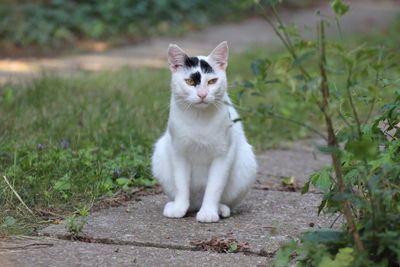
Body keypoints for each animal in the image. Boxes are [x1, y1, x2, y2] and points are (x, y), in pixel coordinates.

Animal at [152, 40, 258, 223]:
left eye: (212, 81)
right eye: (189, 82)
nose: (202, 94)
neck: (199, 118)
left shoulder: (223, 154)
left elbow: (214, 187)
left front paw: (208, 212)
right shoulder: (179, 151)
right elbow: (181, 184)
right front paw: (179, 208)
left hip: (247, 163)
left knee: (225, 200)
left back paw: (221, 209)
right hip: (160, 154)